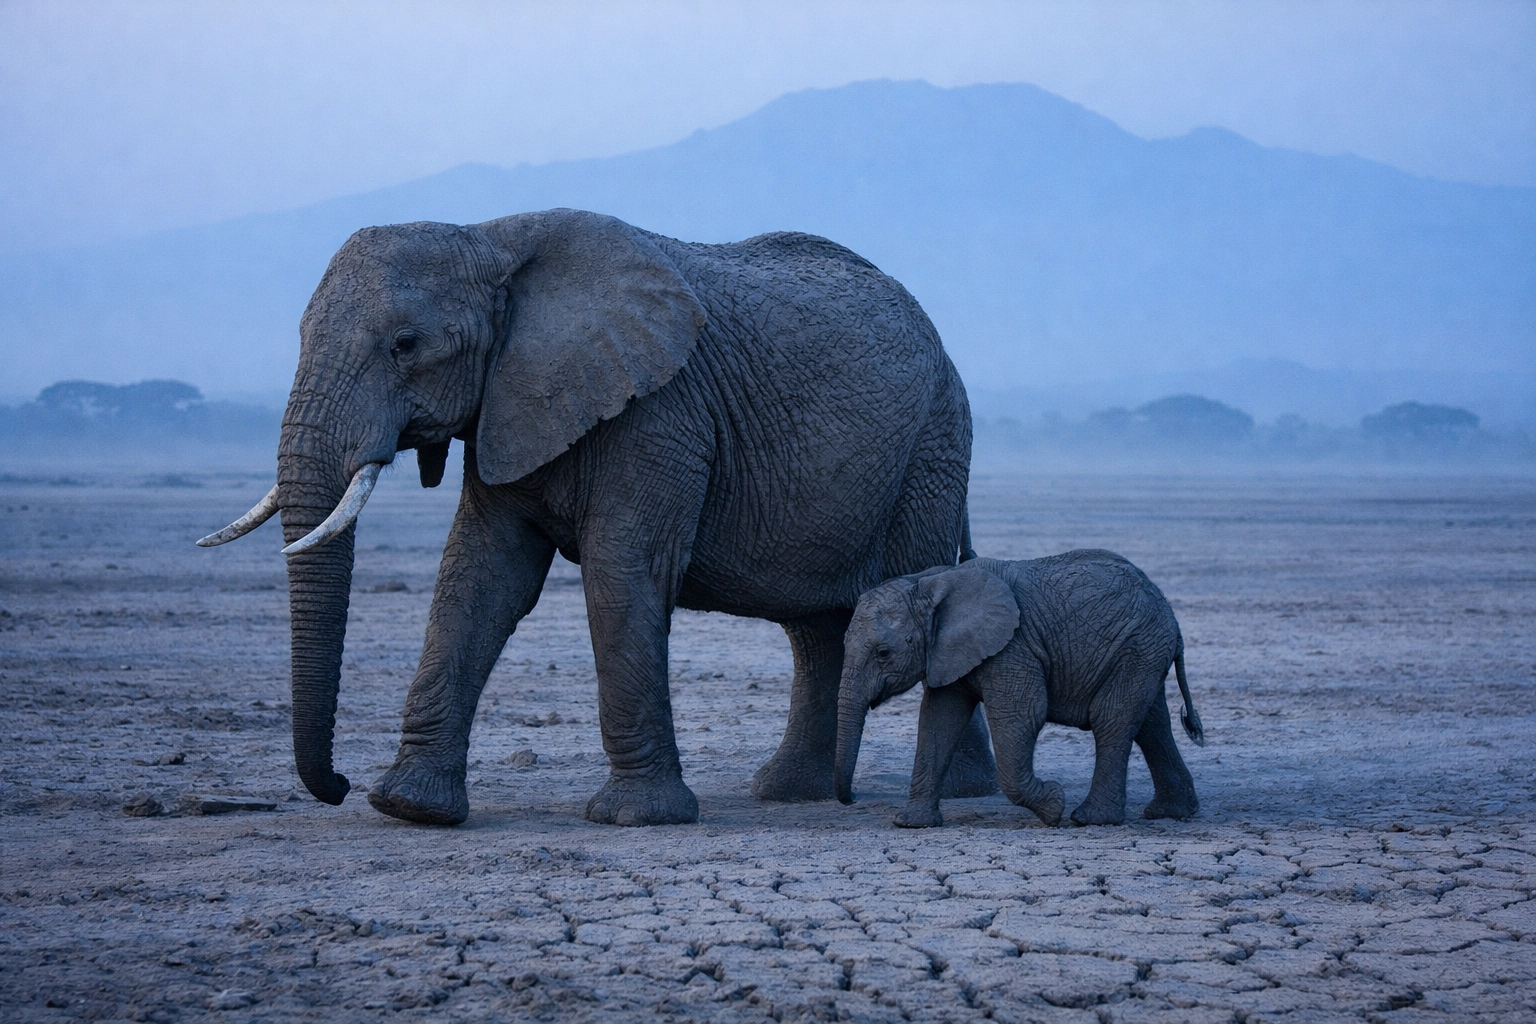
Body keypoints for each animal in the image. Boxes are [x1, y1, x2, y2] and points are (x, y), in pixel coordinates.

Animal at [198, 207, 1000, 826]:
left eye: (405, 346)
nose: (335, 788)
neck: (489, 240)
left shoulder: (661, 410)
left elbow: (622, 572)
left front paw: (637, 819)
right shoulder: (510, 403)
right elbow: (479, 580)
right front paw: (410, 808)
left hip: (931, 446)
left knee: (914, 586)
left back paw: (960, 795)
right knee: (814, 626)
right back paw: (788, 795)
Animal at [834, 550, 1205, 828]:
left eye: (883, 653)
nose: (851, 800)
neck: (930, 581)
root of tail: (1173, 620)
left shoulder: (1013, 646)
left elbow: (1022, 714)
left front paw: (1054, 805)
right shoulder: (946, 652)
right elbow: (938, 721)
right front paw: (910, 823)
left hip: (1138, 646)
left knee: (1111, 719)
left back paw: (1090, 819)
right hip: (1142, 651)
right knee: (1151, 723)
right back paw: (1171, 813)